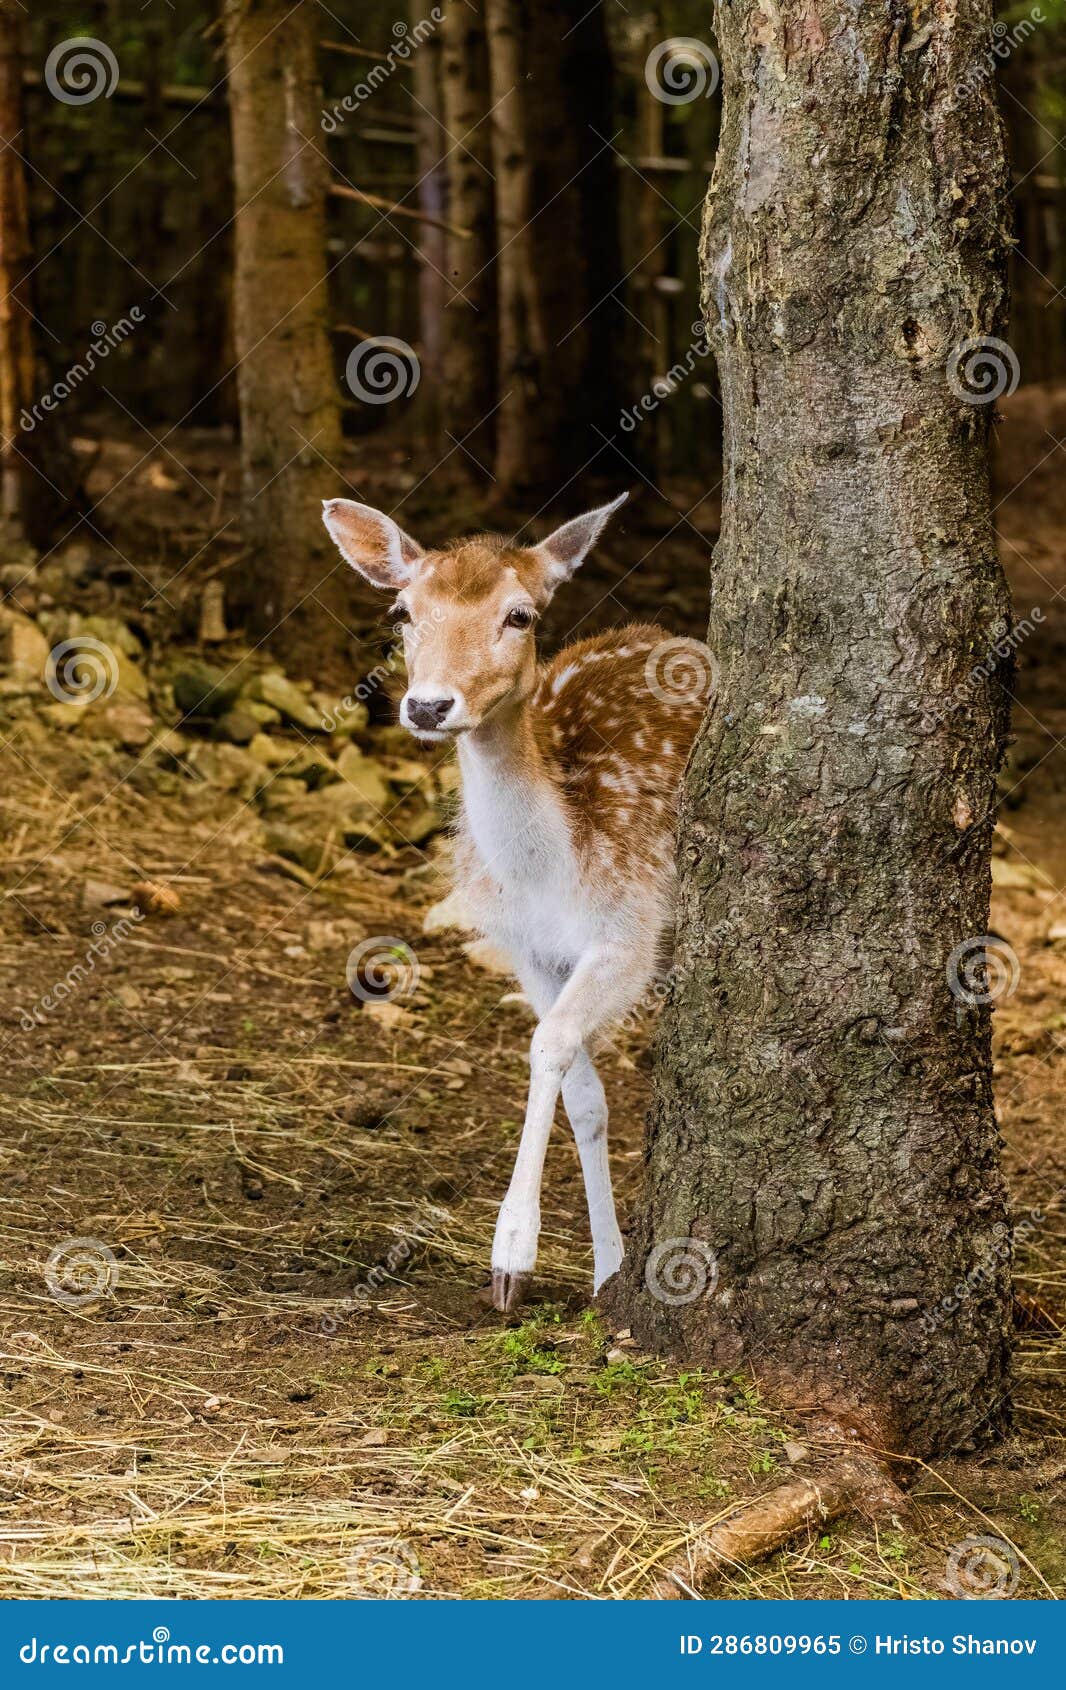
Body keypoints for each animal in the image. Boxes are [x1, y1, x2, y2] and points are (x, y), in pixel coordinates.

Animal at [322, 494, 709, 1311]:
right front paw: (605, 1270)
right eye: (403, 611)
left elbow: (551, 1043)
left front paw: (512, 1255)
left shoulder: (630, 930)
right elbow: (585, 1094)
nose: (429, 705)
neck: (550, 875)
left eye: (520, 614)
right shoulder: (526, 948)